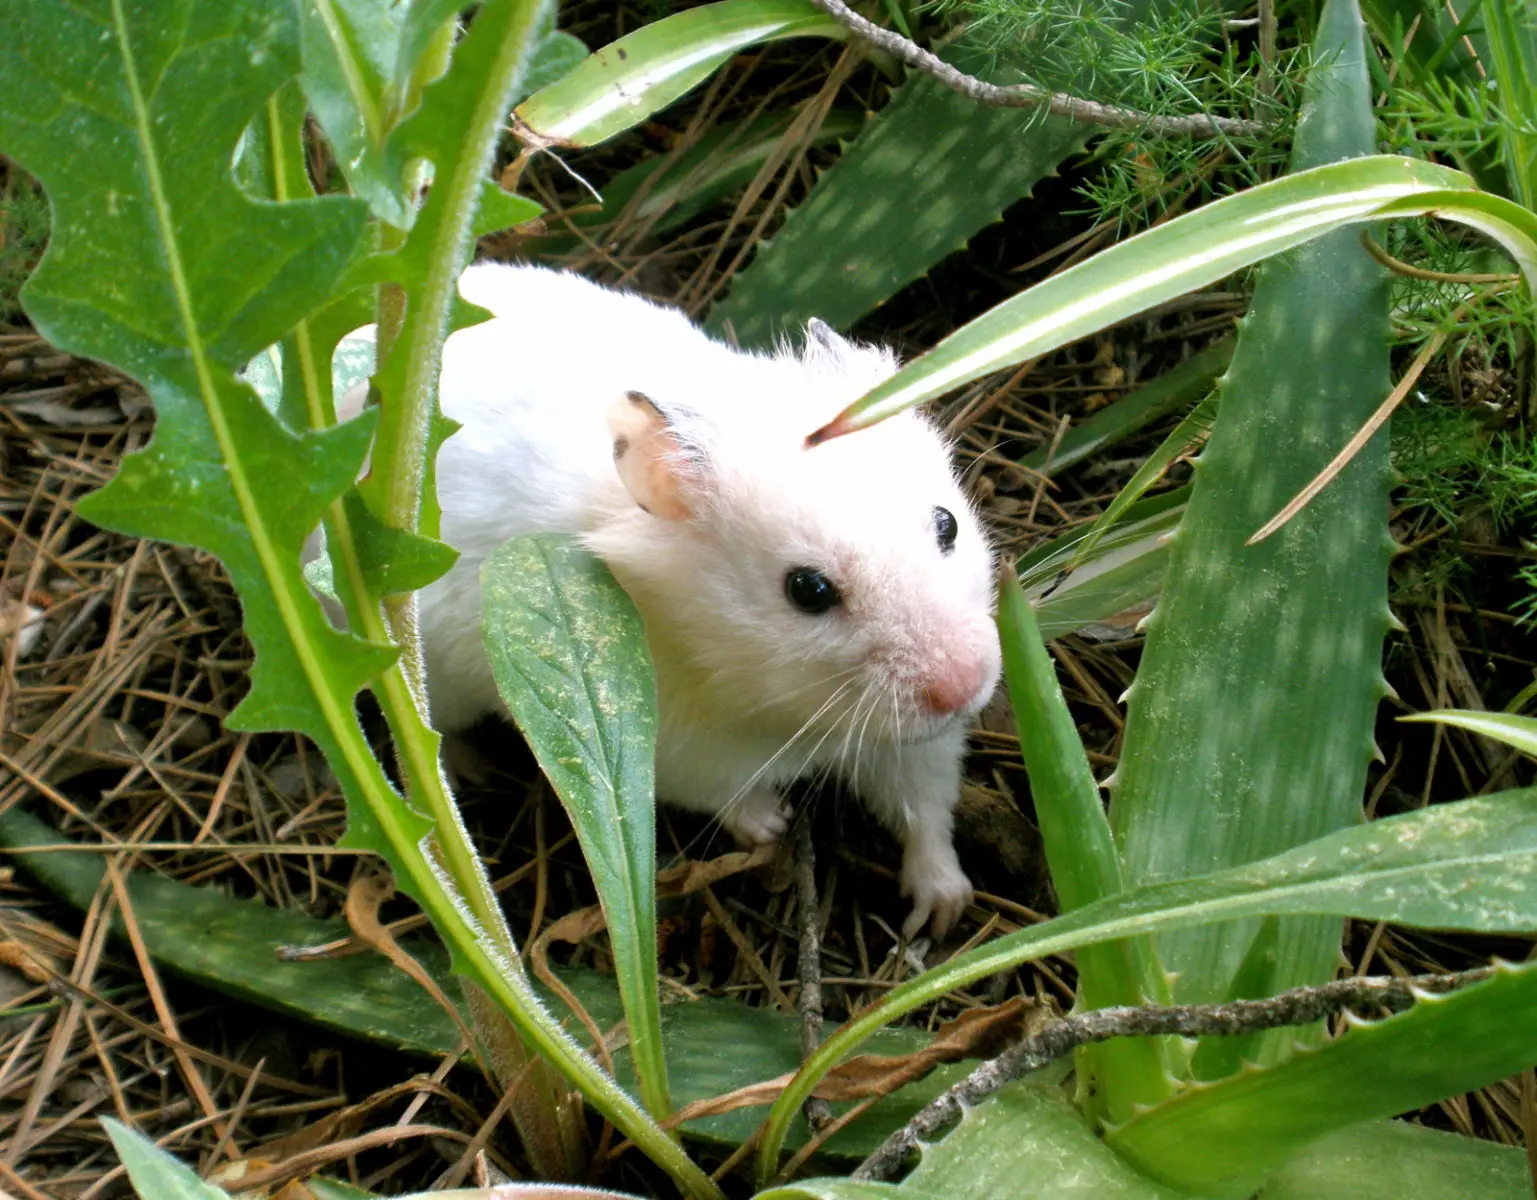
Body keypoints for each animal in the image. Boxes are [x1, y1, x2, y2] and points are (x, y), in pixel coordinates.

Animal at [397, 263, 1002, 938]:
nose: (964, 686)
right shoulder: (679, 753)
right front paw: (774, 824)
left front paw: (941, 913)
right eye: (808, 590)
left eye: (948, 524)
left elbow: (926, 811)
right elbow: (728, 796)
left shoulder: (917, 748)